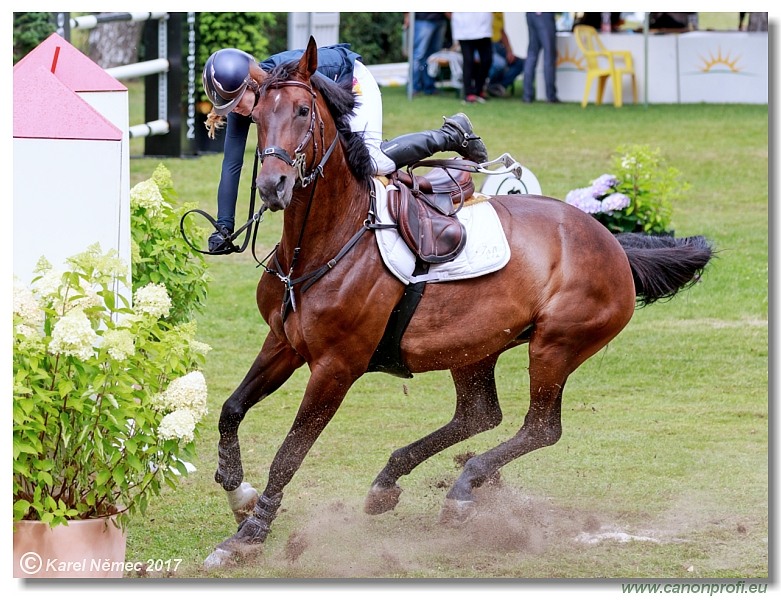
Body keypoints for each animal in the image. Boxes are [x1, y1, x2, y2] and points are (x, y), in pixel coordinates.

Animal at [203, 38, 712, 568]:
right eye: (258, 117)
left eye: (303, 111)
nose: (273, 187)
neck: (325, 241)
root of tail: (612, 242)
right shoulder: (283, 343)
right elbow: (231, 409)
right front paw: (238, 493)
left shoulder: (335, 368)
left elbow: (290, 452)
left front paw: (249, 535)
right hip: (474, 346)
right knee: (479, 414)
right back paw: (389, 482)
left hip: (555, 346)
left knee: (540, 427)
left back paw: (463, 490)